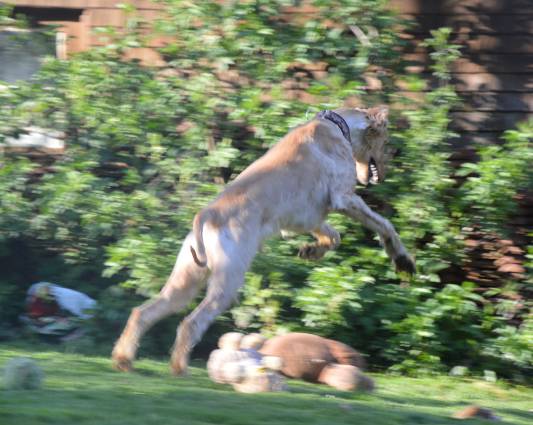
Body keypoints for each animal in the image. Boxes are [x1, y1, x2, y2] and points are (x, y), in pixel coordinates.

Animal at [112, 106, 415, 375]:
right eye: (386, 139)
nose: (389, 164)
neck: (338, 126)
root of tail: (207, 214)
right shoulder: (345, 198)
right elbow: (385, 225)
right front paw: (403, 260)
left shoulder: (305, 220)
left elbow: (334, 236)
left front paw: (312, 251)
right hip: (227, 282)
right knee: (191, 323)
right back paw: (179, 369)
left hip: (184, 281)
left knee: (143, 312)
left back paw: (124, 360)